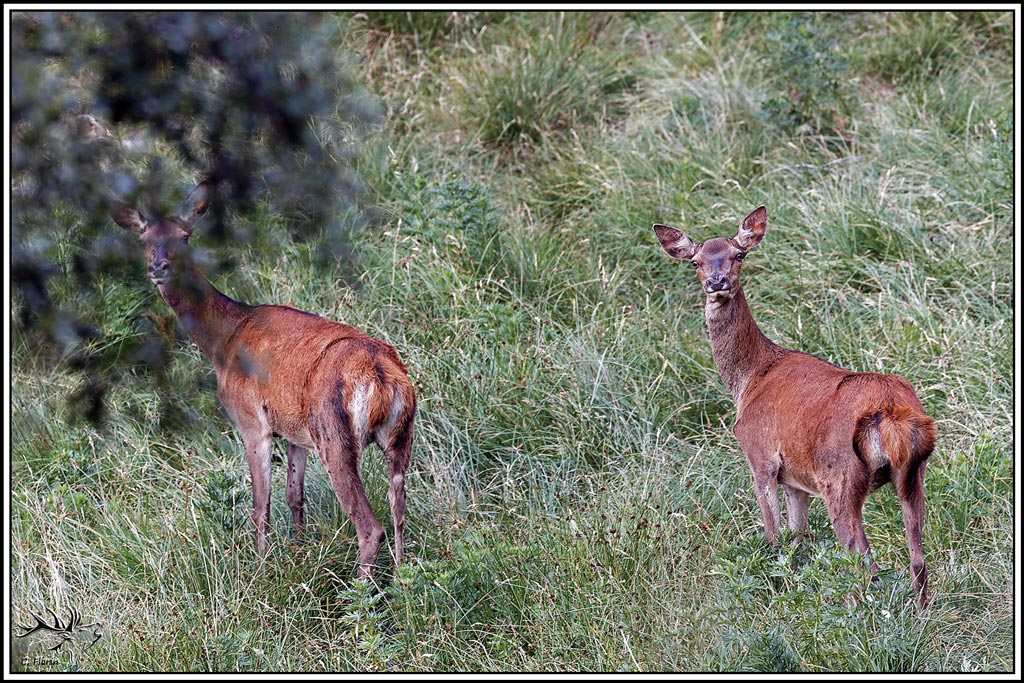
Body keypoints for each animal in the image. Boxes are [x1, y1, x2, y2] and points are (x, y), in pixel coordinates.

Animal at [113, 181, 416, 578]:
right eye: (144, 238)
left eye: (185, 236)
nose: (158, 267)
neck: (223, 343)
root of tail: (382, 376)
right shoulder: (294, 432)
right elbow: (294, 496)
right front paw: (300, 550)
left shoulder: (251, 420)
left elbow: (260, 508)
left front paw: (260, 569)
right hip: (400, 433)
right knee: (399, 509)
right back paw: (402, 577)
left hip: (334, 433)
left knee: (370, 527)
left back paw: (362, 590)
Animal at [654, 206, 936, 609]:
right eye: (695, 261)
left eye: (739, 254)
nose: (717, 282)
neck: (749, 378)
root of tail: (890, 413)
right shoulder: (797, 481)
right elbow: (797, 538)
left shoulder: (760, 455)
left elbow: (775, 538)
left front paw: (778, 591)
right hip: (914, 471)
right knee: (917, 556)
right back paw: (921, 612)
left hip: (840, 476)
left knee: (862, 558)